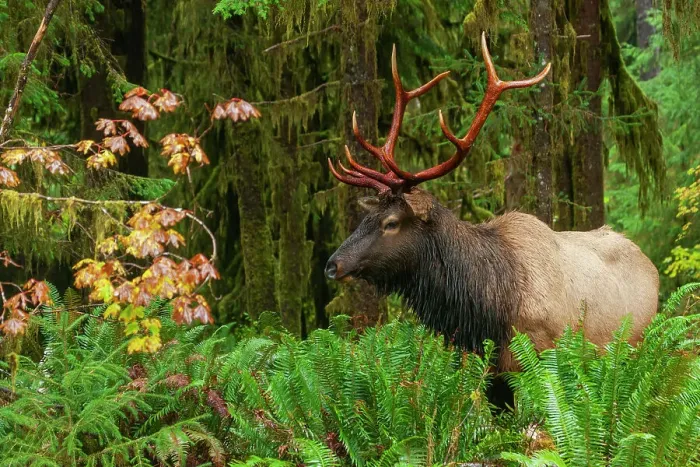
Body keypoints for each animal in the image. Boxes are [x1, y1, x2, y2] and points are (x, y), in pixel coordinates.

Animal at [325, 33, 659, 375]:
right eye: (364, 219)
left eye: (390, 222)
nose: (332, 265)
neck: (487, 310)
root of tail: (650, 265)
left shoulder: (538, 357)